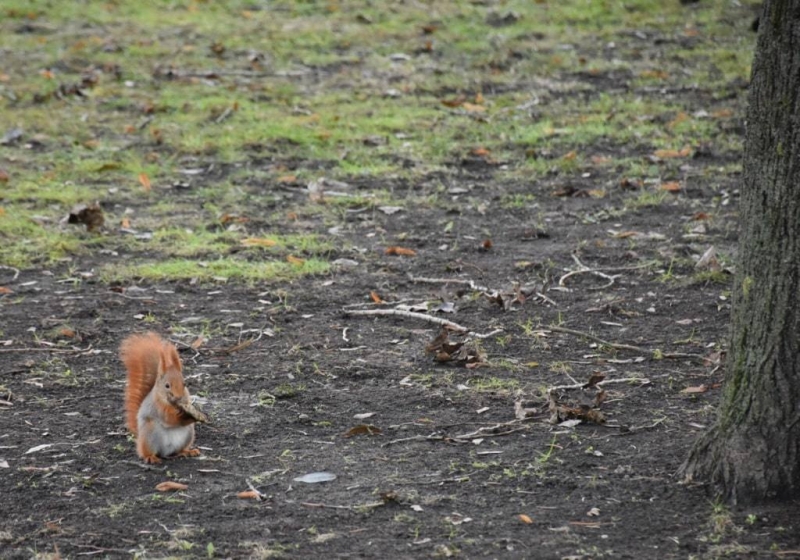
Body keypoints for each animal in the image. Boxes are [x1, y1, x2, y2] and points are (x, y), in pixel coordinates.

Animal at [120, 332, 206, 464]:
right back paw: (150, 457)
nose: (178, 397)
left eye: (185, 384)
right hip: (150, 433)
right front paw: (184, 415)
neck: (173, 405)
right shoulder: (158, 407)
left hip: (189, 434)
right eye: (167, 385)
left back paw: (188, 451)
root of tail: (167, 452)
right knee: (146, 452)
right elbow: (169, 418)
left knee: (178, 451)